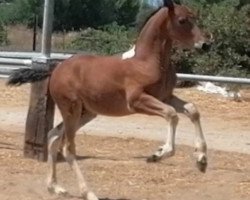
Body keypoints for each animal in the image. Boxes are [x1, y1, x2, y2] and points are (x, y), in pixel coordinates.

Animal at [7, 0, 209, 199]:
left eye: (195, 17)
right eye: (182, 20)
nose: (205, 45)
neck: (147, 61)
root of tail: (55, 69)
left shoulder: (165, 96)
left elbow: (193, 110)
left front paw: (201, 159)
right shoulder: (137, 101)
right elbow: (171, 114)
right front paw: (159, 153)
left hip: (86, 112)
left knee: (53, 135)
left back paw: (55, 187)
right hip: (71, 109)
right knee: (67, 148)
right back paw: (88, 193)